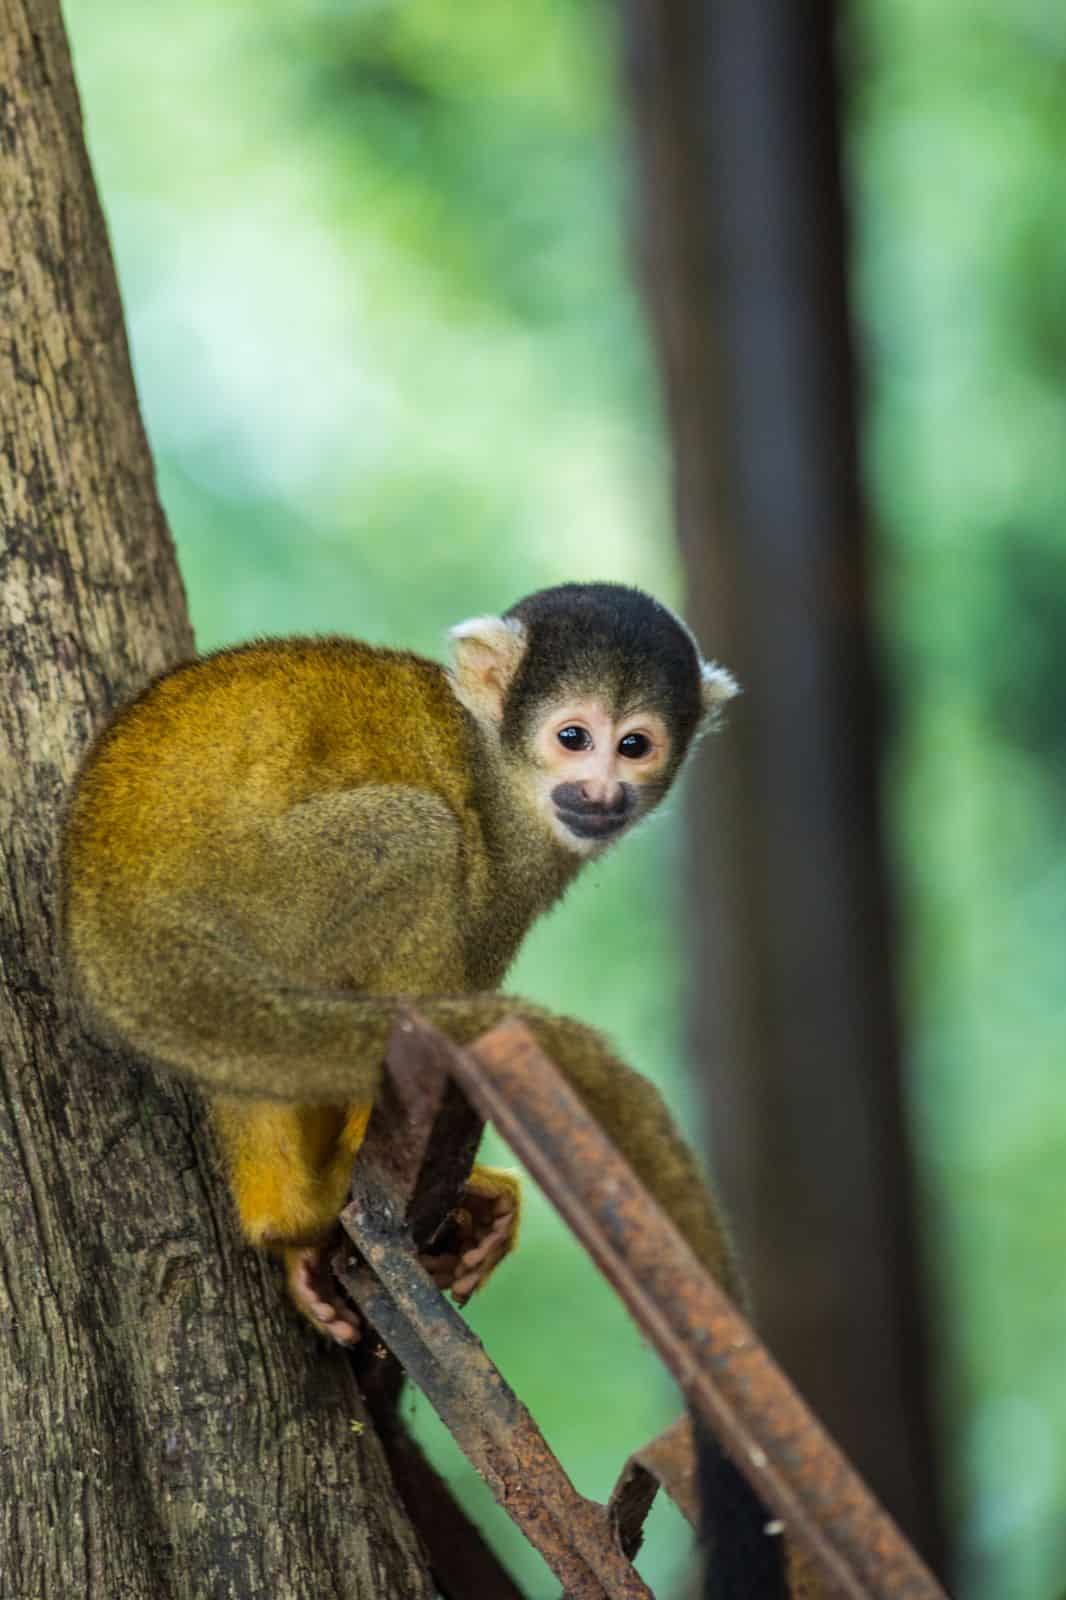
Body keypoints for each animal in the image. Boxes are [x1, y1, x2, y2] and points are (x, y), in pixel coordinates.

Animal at [61, 581, 788, 1598]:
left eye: (635, 745)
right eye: (573, 738)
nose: (601, 793)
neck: (497, 765)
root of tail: (125, 932)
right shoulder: (501, 864)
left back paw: (285, 1220)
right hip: (265, 904)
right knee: (418, 839)